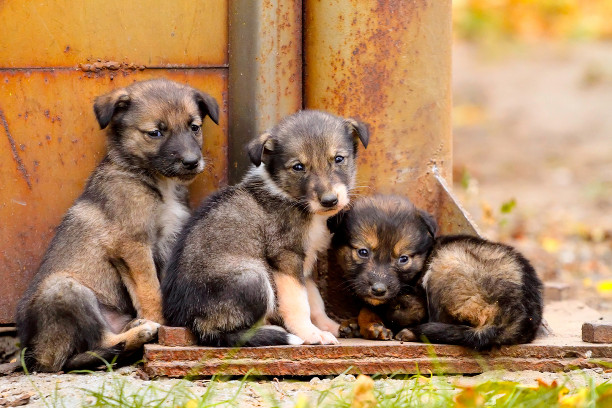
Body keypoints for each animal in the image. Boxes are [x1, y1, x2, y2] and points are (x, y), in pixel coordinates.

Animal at [14, 78, 221, 372]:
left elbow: (164, 284)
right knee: (102, 340)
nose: (192, 162)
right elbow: (150, 289)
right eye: (155, 133)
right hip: (63, 287)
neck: (155, 181)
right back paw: (144, 331)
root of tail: (37, 355)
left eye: (194, 127)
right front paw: (162, 324)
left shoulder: (168, 241)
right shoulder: (132, 244)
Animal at [161, 110, 368, 346]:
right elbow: (299, 302)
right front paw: (310, 334)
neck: (291, 197)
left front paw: (329, 327)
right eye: (298, 167)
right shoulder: (285, 256)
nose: (330, 201)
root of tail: (193, 321)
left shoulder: (305, 261)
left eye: (339, 159)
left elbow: (314, 299)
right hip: (253, 276)